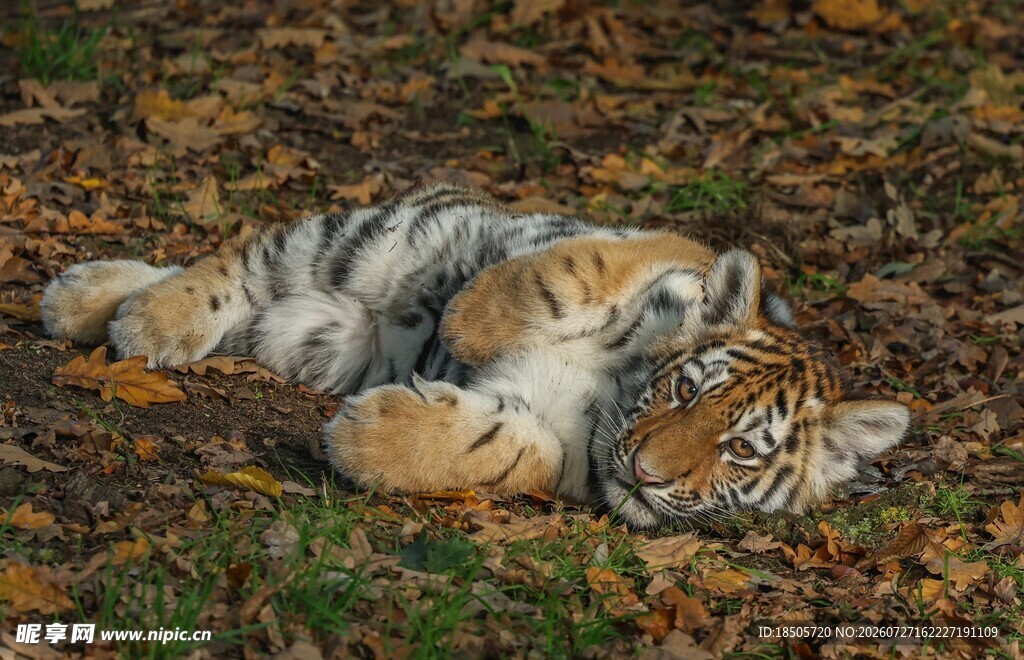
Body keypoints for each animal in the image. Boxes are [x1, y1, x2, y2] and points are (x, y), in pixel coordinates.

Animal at [41, 182, 910, 529]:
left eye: (739, 451)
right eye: (687, 391)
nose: (646, 472)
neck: (613, 395)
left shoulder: (558, 450)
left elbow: (500, 449)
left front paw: (364, 437)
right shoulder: (658, 249)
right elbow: (559, 274)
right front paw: (465, 321)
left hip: (311, 329)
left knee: (257, 297)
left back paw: (96, 304)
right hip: (369, 239)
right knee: (234, 263)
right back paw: (127, 311)